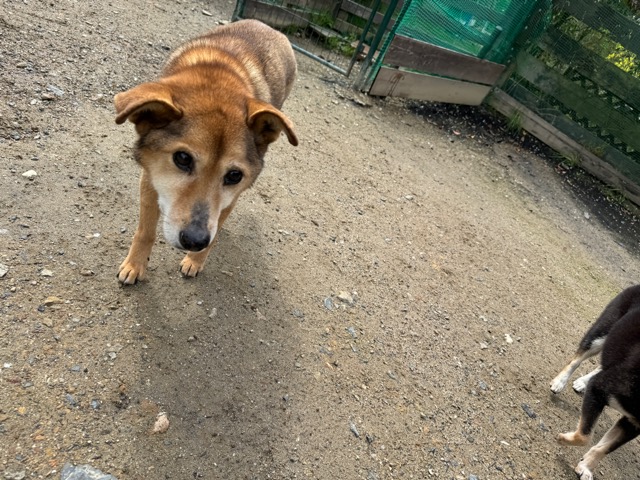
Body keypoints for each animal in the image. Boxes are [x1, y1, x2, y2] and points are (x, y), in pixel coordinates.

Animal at [114, 19, 298, 284]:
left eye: (234, 175)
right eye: (182, 158)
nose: (195, 241)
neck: (216, 84)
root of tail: (267, 26)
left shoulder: (231, 196)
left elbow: (217, 226)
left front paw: (195, 261)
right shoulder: (151, 178)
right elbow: (145, 230)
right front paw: (134, 265)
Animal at [552, 285, 640, 479]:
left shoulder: (633, 423)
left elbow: (604, 449)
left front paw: (585, 466)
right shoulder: (598, 389)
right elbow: (585, 436)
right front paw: (563, 439)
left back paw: (582, 382)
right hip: (602, 333)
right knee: (576, 360)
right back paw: (560, 381)